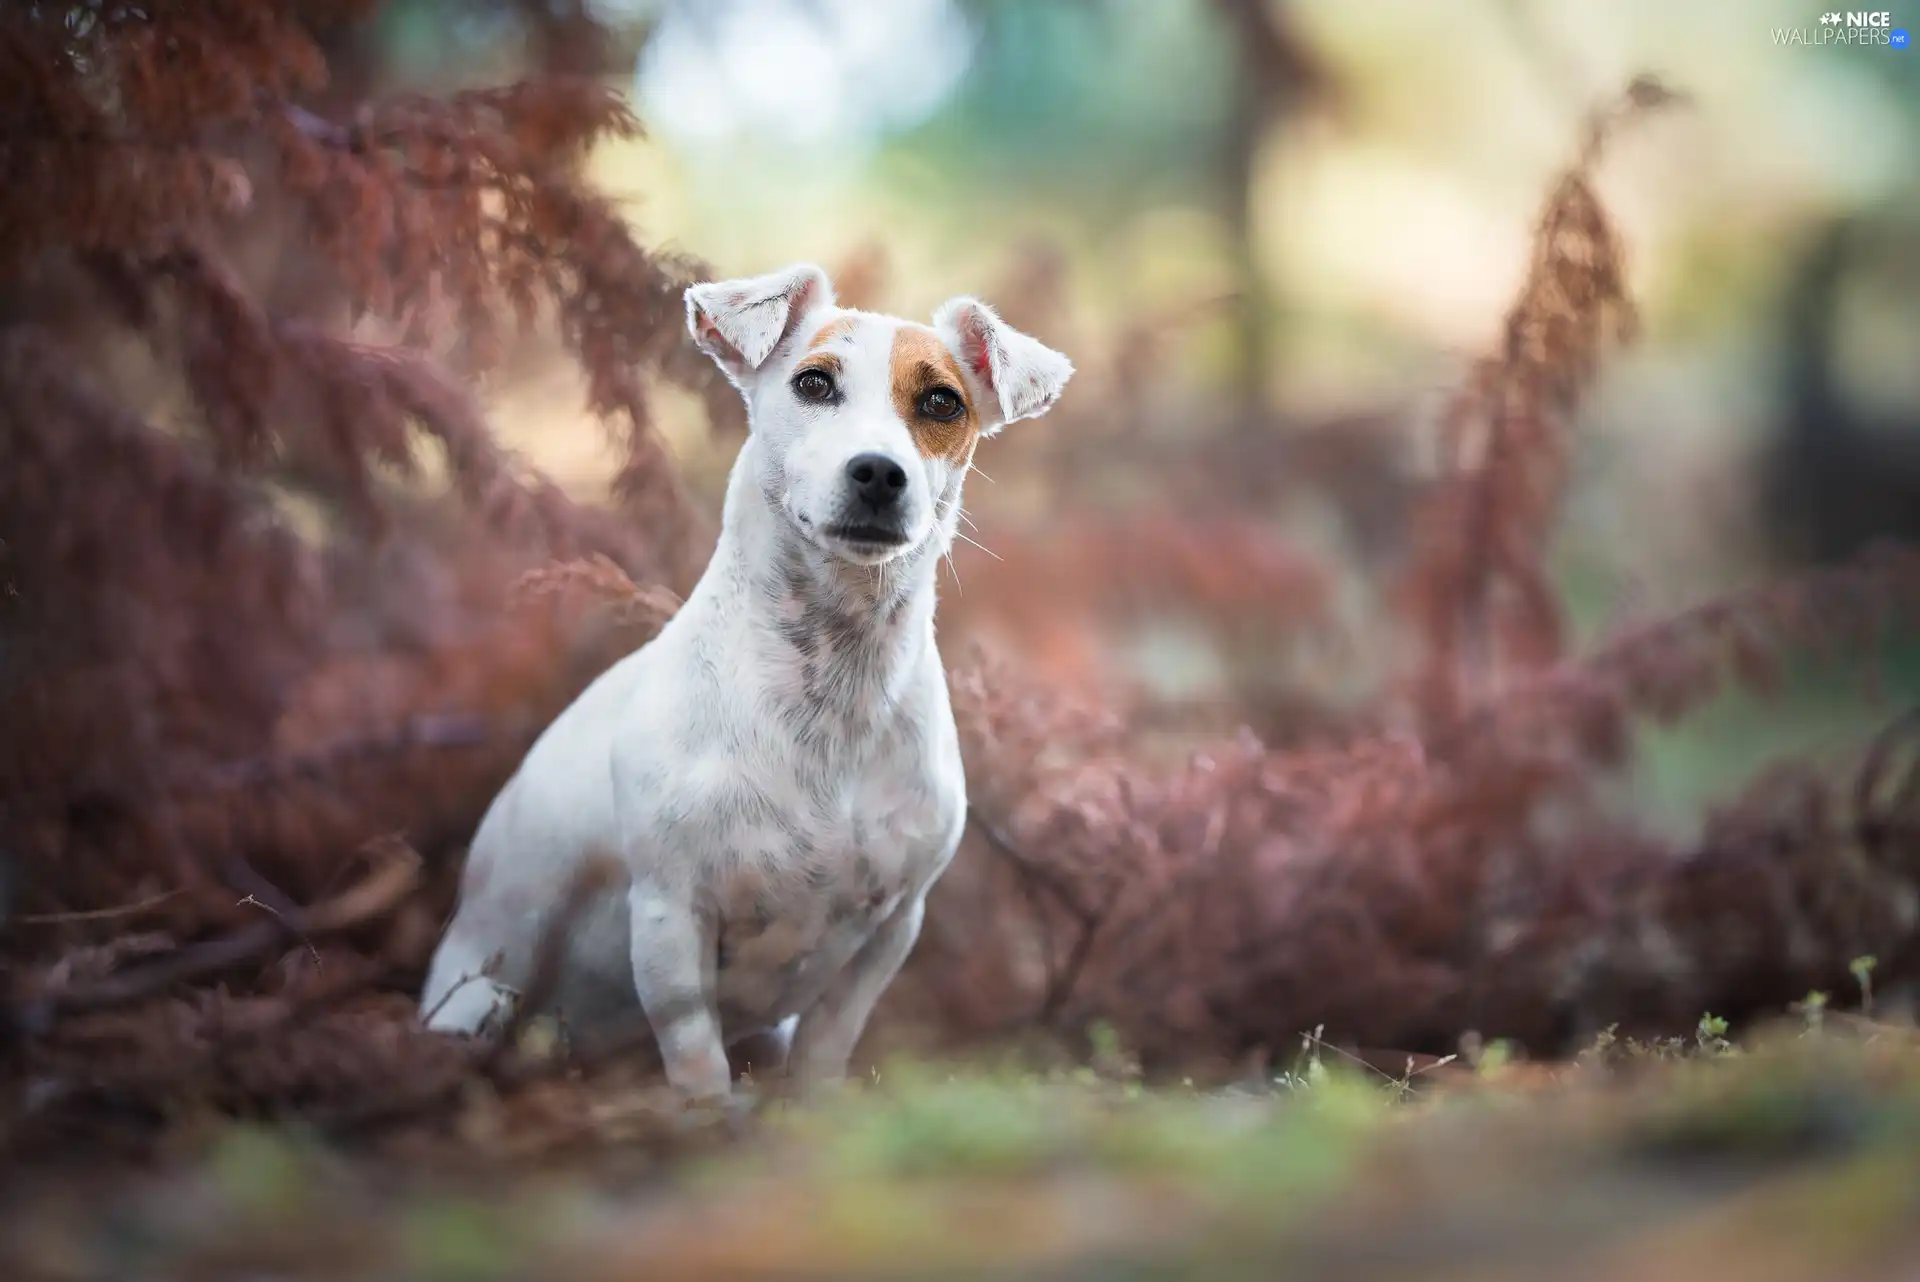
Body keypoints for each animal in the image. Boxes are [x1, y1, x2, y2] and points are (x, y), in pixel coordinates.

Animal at [418, 262, 1075, 1105]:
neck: (832, 681)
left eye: (941, 402)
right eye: (813, 383)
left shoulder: (889, 930)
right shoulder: (670, 918)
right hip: (480, 996)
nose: (878, 472)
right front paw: (711, 1119)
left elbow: (826, 1048)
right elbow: (697, 1056)